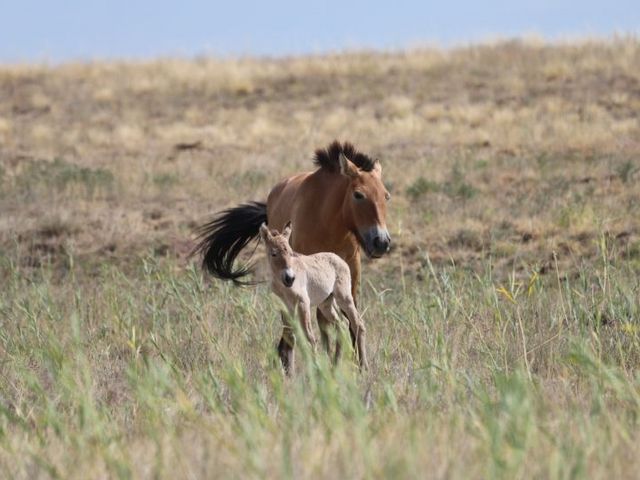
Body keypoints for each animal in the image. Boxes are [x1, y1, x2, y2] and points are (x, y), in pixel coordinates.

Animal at [260, 223, 367, 372]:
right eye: (273, 253)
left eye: (290, 253)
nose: (290, 278)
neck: (282, 287)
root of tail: (339, 258)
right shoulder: (285, 308)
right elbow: (290, 338)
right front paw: (289, 373)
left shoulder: (303, 303)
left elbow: (309, 337)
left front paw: (316, 371)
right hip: (326, 304)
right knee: (343, 324)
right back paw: (335, 366)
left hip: (344, 297)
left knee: (357, 324)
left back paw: (363, 367)